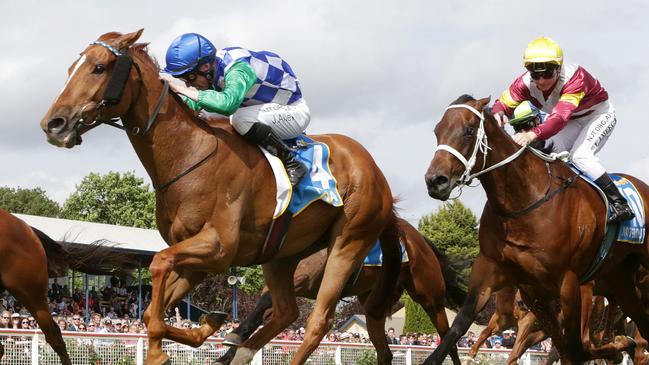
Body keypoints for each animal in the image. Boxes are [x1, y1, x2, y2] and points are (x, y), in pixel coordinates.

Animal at [39, 29, 400, 364]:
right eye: (71, 68)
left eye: (99, 68)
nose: (53, 123)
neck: (190, 154)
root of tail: (377, 173)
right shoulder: (196, 258)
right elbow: (152, 308)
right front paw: (210, 325)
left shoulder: (218, 247)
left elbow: (158, 263)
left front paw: (157, 352)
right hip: (282, 254)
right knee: (286, 311)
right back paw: (239, 348)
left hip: (348, 243)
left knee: (317, 322)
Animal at [216, 218, 466, 364]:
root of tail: (420, 239)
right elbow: (260, 312)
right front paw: (229, 349)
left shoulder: (302, 281)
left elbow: (263, 304)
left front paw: (233, 340)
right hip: (374, 305)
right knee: (385, 352)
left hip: (430, 297)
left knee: (450, 340)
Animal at [420, 95, 648, 362]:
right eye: (437, 131)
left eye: (468, 130)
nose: (435, 181)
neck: (524, 201)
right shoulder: (511, 280)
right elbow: (458, 328)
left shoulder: (569, 283)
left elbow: (576, 348)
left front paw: (618, 345)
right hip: (622, 282)